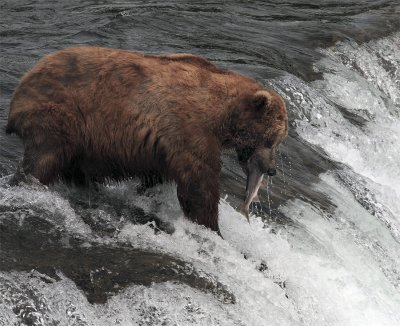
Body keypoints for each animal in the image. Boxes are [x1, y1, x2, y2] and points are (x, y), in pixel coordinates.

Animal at [6, 46, 288, 234]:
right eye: (272, 139)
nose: (272, 169)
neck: (221, 115)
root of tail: (24, 81)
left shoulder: (161, 147)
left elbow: (157, 176)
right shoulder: (189, 130)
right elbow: (199, 185)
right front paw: (211, 226)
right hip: (59, 117)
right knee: (42, 161)